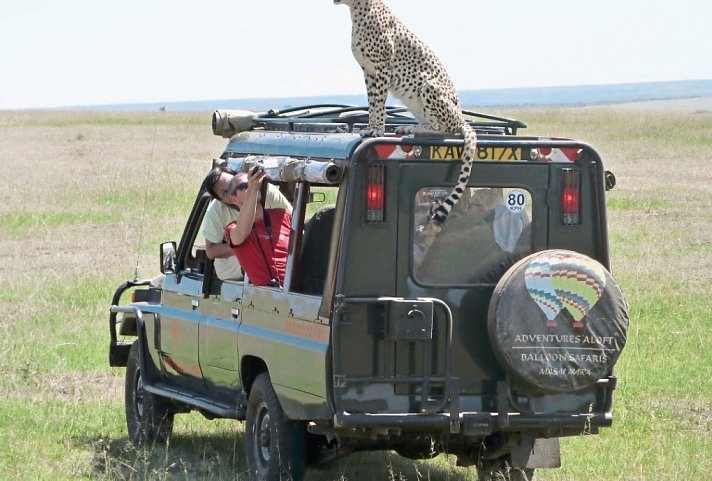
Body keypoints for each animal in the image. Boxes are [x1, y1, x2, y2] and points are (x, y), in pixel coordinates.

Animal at [336, 0, 478, 225]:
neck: (358, 10)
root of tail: (462, 117)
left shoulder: (381, 68)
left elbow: (378, 102)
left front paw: (376, 130)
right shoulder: (368, 71)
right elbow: (372, 102)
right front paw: (370, 127)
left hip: (429, 86)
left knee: (443, 127)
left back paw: (413, 128)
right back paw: (408, 126)